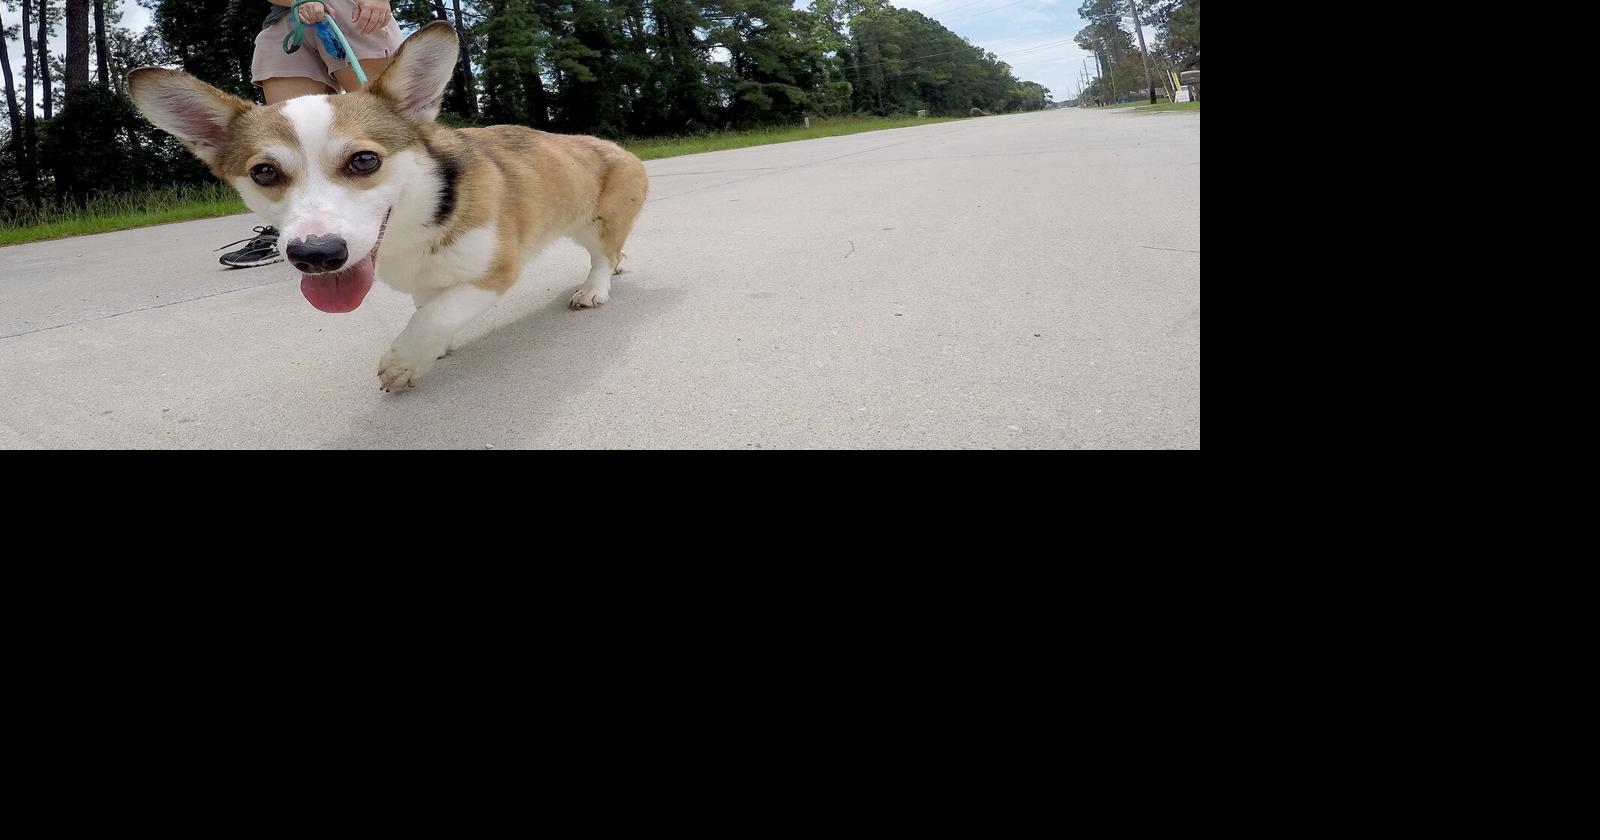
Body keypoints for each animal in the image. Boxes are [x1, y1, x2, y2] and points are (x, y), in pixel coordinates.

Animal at [128, 21, 648, 391]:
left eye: (364, 160)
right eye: (264, 173)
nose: (316, 256)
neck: (418, 222)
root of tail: (618, 147)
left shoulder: (494, 272)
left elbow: (435, 315)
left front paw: (406, 359)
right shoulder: (427, 280)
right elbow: (430, 308)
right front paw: (434, 347)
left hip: (597, 223)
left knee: (602, 254)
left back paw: (594, 289)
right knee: (612, 253)